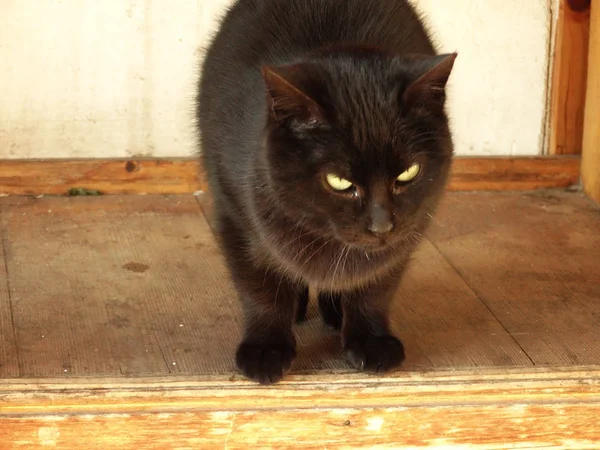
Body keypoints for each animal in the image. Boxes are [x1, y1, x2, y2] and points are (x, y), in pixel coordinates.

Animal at [196, 0, 454, 384]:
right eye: (339, 182)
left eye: (408, 173)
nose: (382, 225)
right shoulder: (234, 216)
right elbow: (260, 287)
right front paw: (265, 350)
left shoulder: (404, 240)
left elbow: (376, 287)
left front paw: (371, 341)